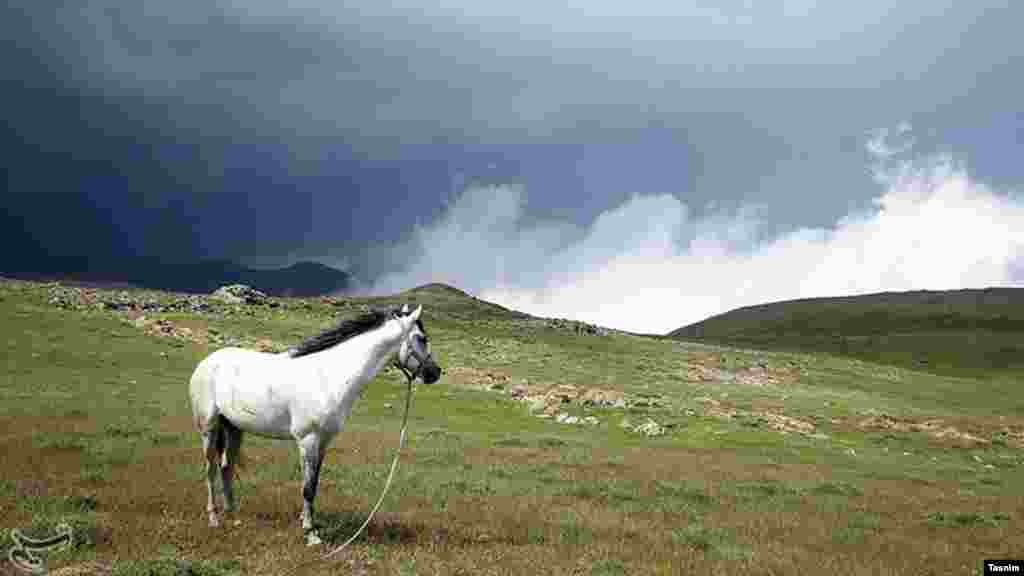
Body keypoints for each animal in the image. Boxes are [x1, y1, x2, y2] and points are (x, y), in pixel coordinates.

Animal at [188, 301, 440, 541]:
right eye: (421, 338)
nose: (435, 373)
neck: (328, 377)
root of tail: (206, 363)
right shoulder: (308, 440)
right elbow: (307, 488)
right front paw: (310, 533)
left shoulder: (324, 441)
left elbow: (314, 484)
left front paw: (309, 522)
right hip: (209, 428)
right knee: (210, 469)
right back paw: (214, 518)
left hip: (234, 429)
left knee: (226, 467)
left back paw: (233, 514)